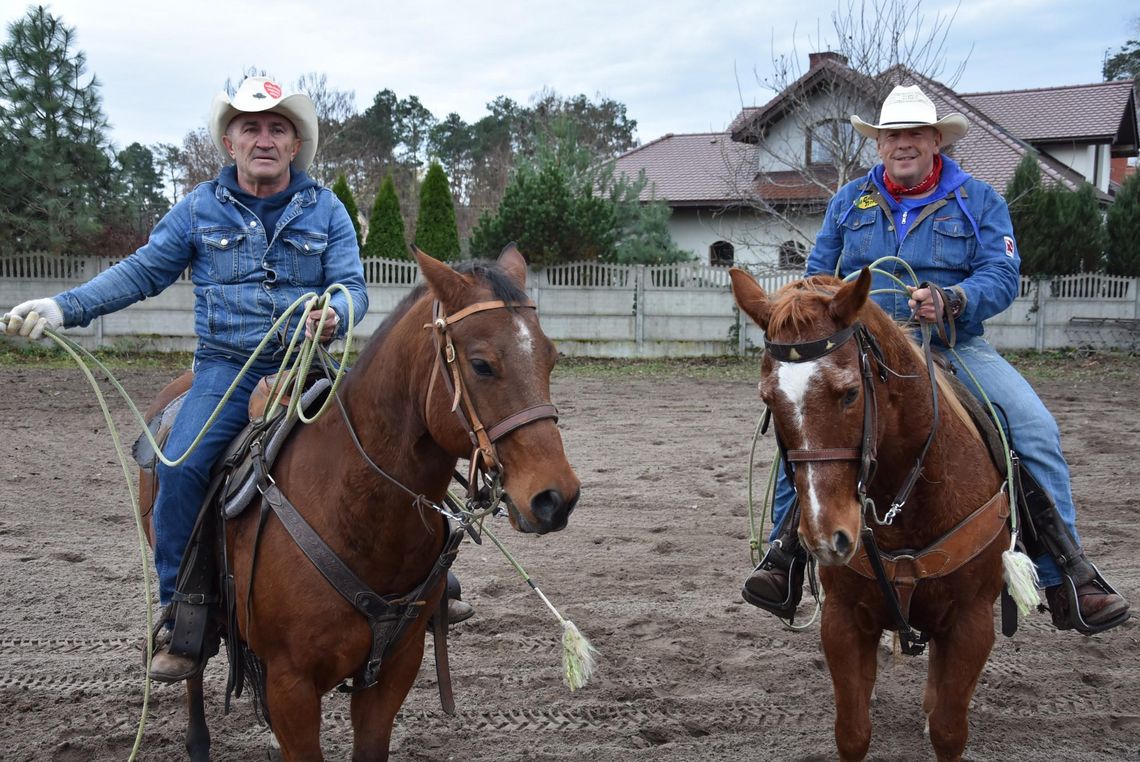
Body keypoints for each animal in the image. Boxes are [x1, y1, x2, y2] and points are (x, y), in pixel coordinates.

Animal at [137, 247, 579, 757]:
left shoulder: (394, 671)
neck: (355, 509)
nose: (556, 497)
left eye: (551, 358)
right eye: (482, 364)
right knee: (194, 659)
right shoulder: (291, 685)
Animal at [729, 268, 1007, 762]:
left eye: (850, 393)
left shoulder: (972, 624)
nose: (828, 537)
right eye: (768, 399)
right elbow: (853, 732)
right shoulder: (842, 621)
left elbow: (949, 731)